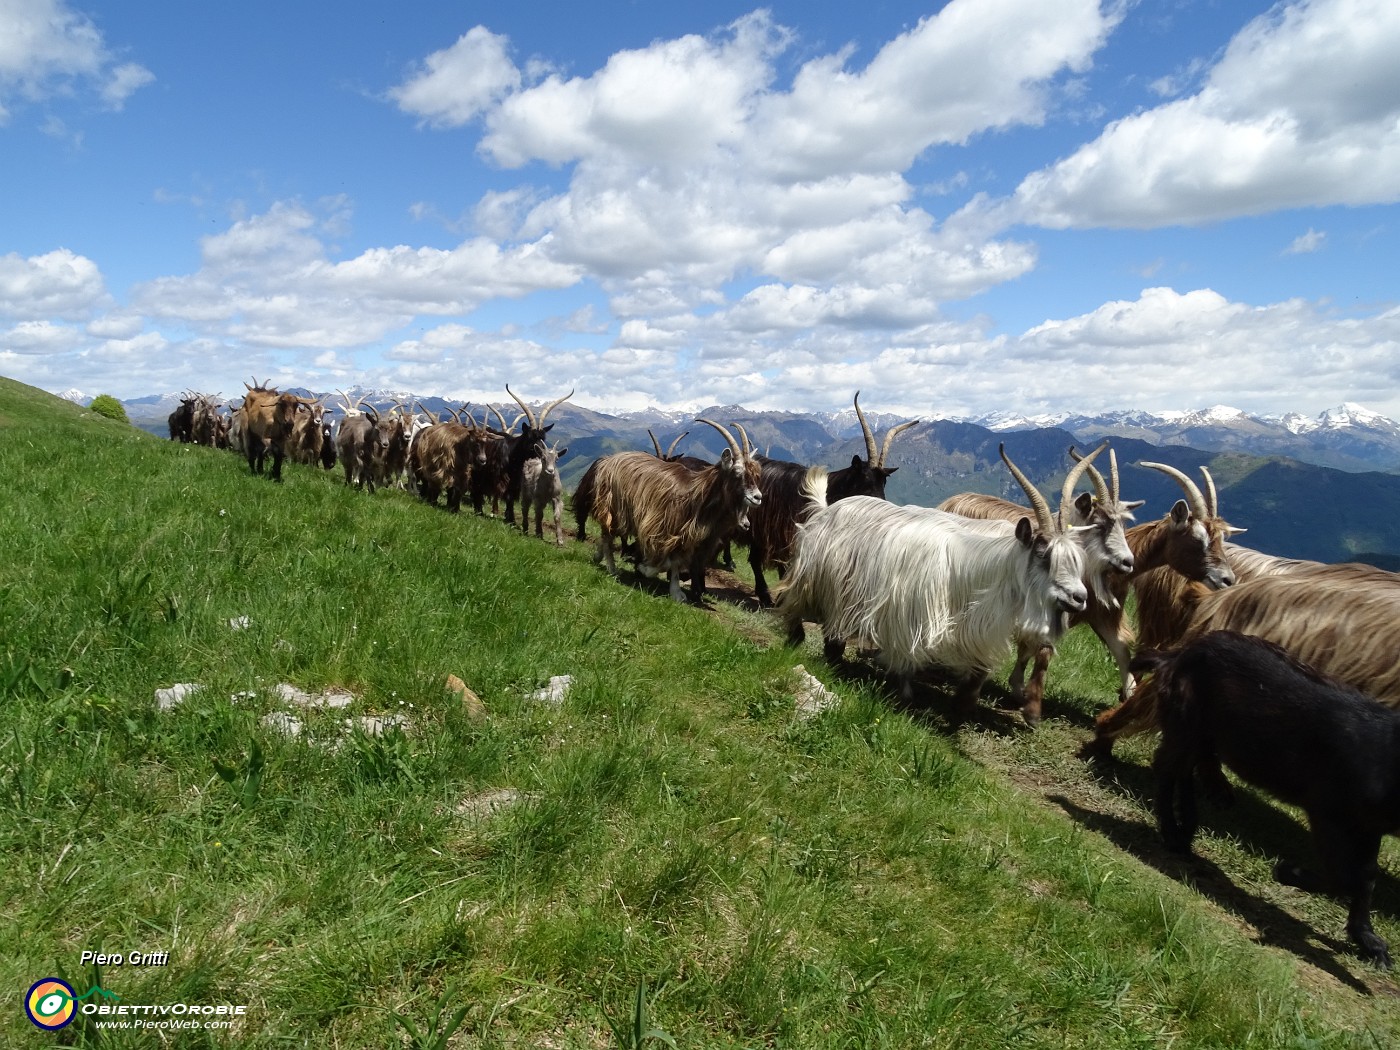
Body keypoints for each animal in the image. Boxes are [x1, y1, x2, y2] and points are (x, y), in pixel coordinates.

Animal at [1136, 632, 1400, 968]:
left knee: (1186, 769)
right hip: (1187, 722)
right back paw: (1172, 834)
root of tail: (1178, 654)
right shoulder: (1328, 813)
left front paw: (1370, 943)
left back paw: (1185, 832)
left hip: (1202, 733)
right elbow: (1346, 877)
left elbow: (1366, 878)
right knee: (1167, 768)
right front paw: (1287, 872)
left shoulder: (1369, 825)